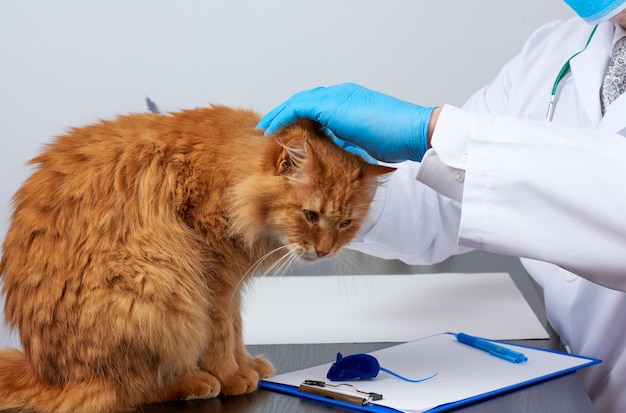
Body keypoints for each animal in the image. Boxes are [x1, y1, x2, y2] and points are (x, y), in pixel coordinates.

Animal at [0, 104, 390, 410]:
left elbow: (236, 329)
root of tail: (46, 374)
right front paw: (232, 376)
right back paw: (195, 381)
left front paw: (247, 364)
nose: (324, 250)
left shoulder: (231, 284)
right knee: (130, 390)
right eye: (310, 215)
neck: (230, 175)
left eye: (345, 223)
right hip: (158, 289)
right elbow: (220, 335)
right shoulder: (214, 277)